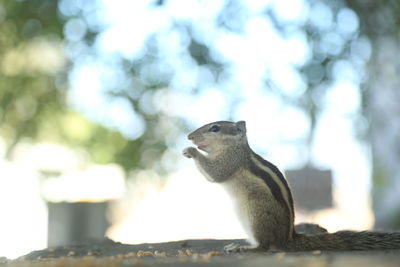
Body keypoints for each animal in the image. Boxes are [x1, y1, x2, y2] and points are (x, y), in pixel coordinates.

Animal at [183, 120, 400, 252]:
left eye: (215, 128)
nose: (189, 136)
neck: (235, 147)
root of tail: (287, 238)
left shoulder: (231, 161)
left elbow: (215, 173)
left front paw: (191, 151)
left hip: (256, 217)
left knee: (264, 246)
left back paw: (243, 248)